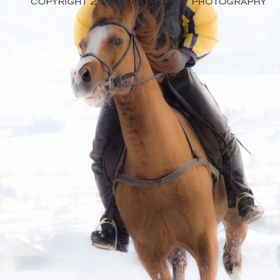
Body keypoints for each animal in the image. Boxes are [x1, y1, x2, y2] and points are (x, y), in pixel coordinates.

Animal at [71, 2, 247, 280]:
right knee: (181, 264)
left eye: (117, 40)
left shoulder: (205, 243)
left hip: (235, 222)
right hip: (174, 247)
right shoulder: (149, 252)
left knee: (233, 258)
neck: (157, 164)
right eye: (82, 43)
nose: (80, 76)